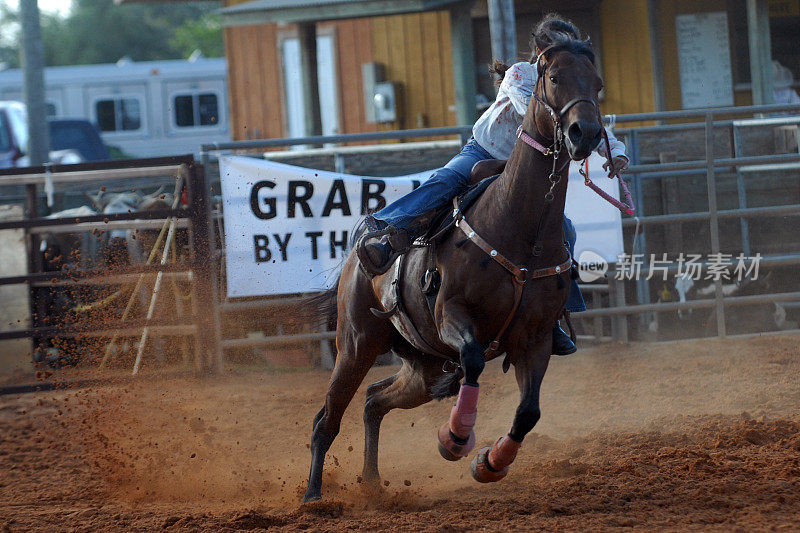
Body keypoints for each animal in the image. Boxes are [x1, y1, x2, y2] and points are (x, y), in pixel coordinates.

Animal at [304, 34, 604, 502]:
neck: (518, 228)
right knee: (327, 419)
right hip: (355, 345)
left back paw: (371, 484)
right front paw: (456, 439)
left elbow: (528, 412)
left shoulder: (535, 339)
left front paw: (490, 463)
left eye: (598, 83)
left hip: (425, 369)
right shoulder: (453, 315)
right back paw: (313, 497)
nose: (586, 133)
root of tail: (353, 262)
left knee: (373, 401)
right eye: (554, 77)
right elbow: (476, 361)